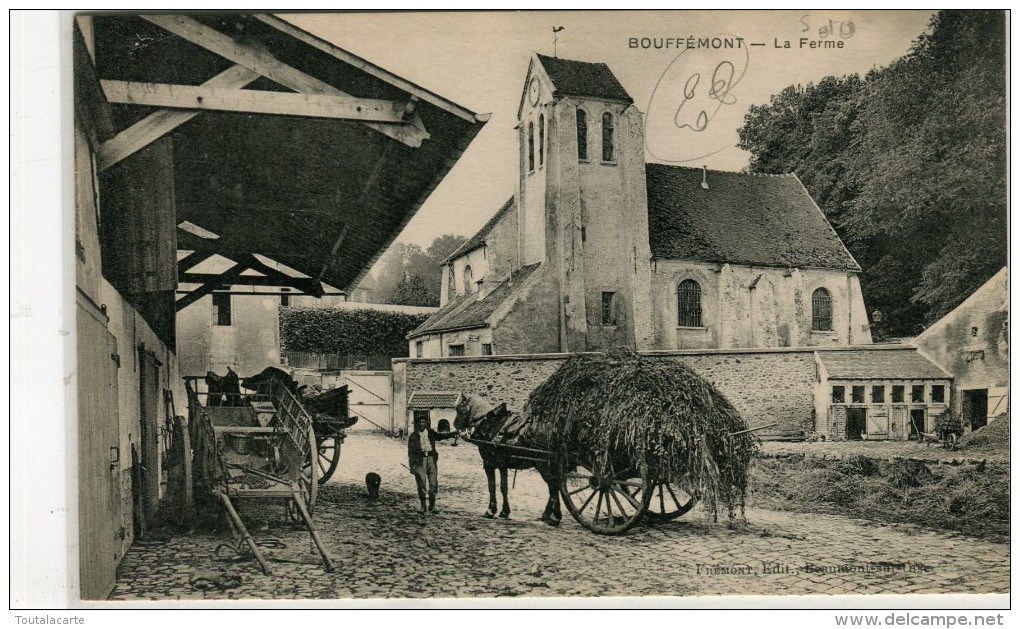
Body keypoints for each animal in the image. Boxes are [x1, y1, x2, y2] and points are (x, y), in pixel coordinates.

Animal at [456, 391, 567, 526]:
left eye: (458, 409)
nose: (454, 425)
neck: (490, 426)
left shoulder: (489, 464)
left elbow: (493, 487)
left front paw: (491, 511)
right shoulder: (502, 465)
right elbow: (503, 488)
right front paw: (504, 512)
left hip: (543, 466)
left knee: (554, 486)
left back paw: (555, 517)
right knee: (554, 488)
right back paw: (547, 515)